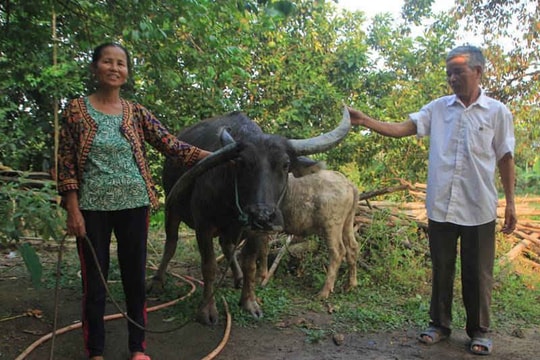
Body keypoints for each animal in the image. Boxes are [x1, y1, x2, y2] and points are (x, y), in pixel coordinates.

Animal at [149, 108, 350, 324]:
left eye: (285, 164)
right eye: (241, 162)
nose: (263, 215)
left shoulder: (255, 231)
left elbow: (250, 265)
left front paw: (249, 302)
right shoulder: (204, 225)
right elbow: (209, 266)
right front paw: (207, 310)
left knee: (227, 246)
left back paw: (237, 277)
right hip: (172, 209)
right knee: (171, 243)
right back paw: (157, 281)